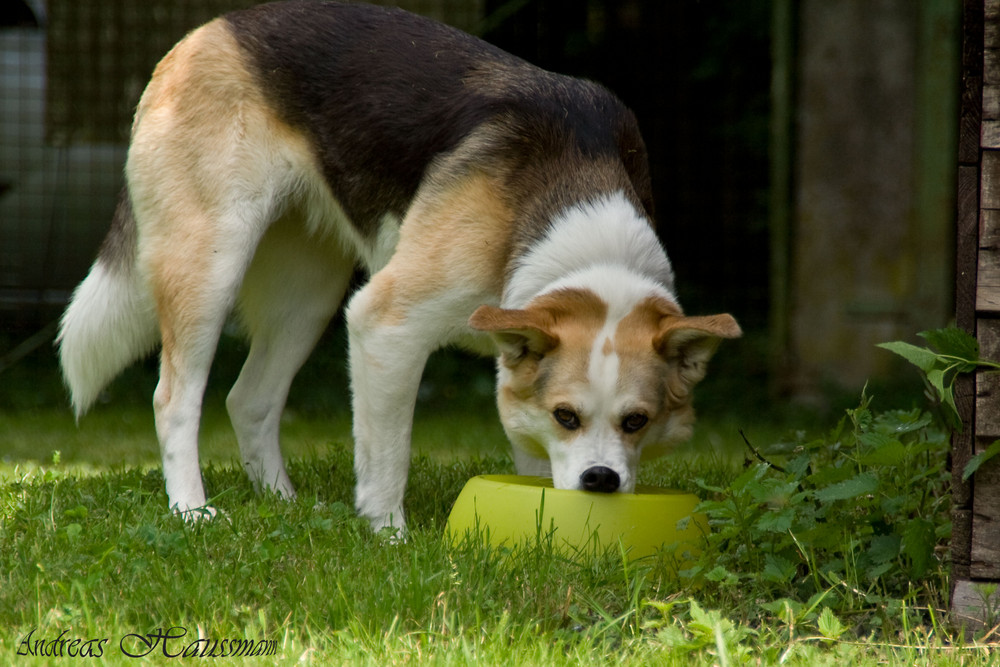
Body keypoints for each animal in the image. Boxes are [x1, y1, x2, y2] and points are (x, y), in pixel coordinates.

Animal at [56, 0, 744, 532]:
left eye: (638, 421)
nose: (602, 480)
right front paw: (389, 536)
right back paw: (192, 512)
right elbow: (390, 455)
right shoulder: (384, 327)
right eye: (566, 415)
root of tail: (202, 34)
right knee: (175, 398)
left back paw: (286, 506)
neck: (573, 211)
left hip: (307, 297)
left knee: (249, 399)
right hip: (210, 266)